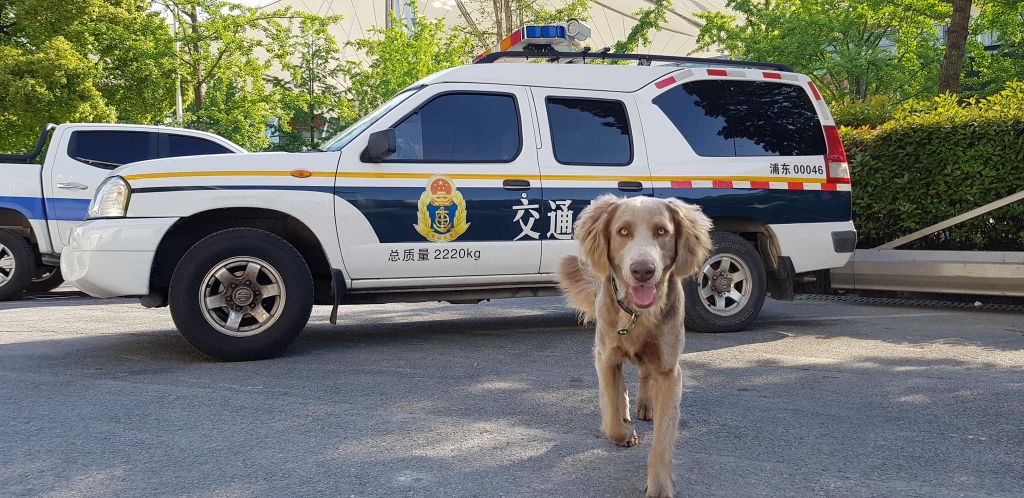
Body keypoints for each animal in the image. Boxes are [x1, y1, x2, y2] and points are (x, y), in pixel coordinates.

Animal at [561, 194, 712, 498]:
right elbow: (611, 417)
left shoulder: (669, 371)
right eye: (623, 231)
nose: (643, 270)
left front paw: (660, 485)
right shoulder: (605, 357)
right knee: (620, 391)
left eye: (662, 231)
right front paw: (625, 431)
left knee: (644, 375)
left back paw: (645, 404)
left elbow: (663, 438)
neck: (637, 315)